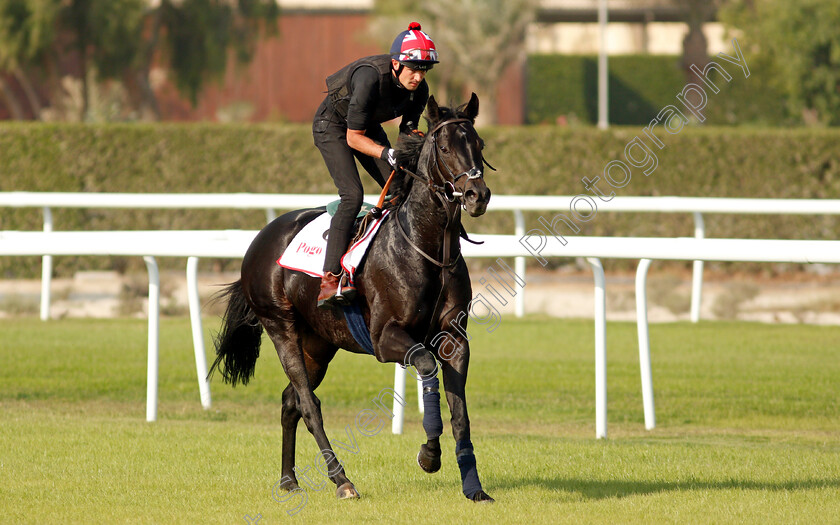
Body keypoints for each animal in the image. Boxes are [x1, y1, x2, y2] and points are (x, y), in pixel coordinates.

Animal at [210, 93, 496, 504]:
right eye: (444, 147)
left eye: (479, 145)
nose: (477, 195)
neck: (428, 248)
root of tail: (261, 238)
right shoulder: (385, 338)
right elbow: (426, 366)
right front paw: (429, 454)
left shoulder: (454, 339)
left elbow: (460, 412)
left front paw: (473, 486)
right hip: (281, 327)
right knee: (307, 403)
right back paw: (341, 480)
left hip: (318, 343)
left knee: (289, 401)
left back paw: (289, 480)